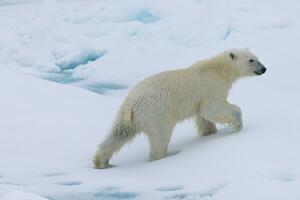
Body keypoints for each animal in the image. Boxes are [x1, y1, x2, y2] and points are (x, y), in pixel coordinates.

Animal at [92, 48, 266, 169]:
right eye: (252, 60)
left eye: (257, 58)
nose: (264, 69)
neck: (219, 69)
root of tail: (131, 104)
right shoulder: (211, 87)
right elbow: (212, 108)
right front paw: (237, 124)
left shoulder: (200, 98)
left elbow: (204, 117)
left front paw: (209, 134)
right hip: (157, 112)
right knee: (161, 136)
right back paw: (167, 155)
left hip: (127, 117)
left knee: (118, 134)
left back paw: (101, 161)